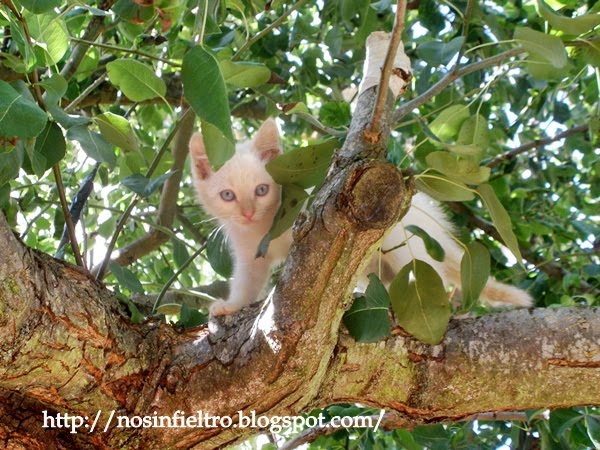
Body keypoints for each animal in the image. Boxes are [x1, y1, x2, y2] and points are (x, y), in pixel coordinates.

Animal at [189, 119, 533, 316]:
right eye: (228, 196)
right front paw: (232, 305)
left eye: (261, 190)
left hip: (404, 240)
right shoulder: (249, 251)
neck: (264, 225)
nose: (247, 212)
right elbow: (248, 278)